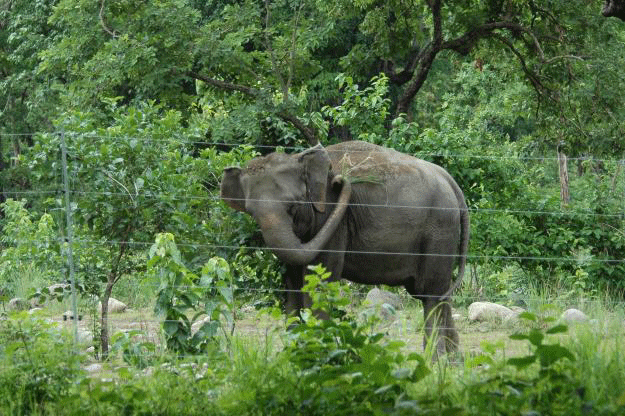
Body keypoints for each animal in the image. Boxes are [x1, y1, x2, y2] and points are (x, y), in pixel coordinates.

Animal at [219, 140, 468, 354]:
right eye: (251, 212)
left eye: (293, 206)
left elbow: (320, 280)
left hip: (439, 230)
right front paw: (294, 354)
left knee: (431, 295)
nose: (340, 180)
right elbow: (293, 284)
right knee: (439, 294)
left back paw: (435, 362)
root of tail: (450, 180)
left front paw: (319, 353)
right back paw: (452, 362)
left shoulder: (333, 218)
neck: (299, 158)